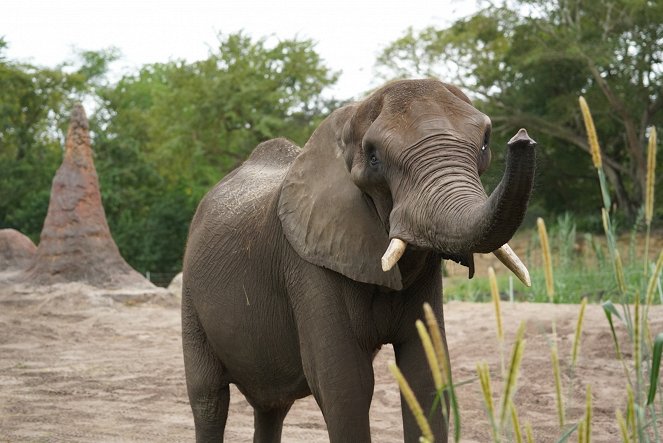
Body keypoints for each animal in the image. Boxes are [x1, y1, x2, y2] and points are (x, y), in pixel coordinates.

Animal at [183, 78, 540, 442]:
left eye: (484, 143)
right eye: (373, 157)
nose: (522, 138)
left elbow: (426, 372)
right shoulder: (307, 262)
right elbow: (345, 383)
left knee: (272, 407)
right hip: (191, 297)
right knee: (209, 398)